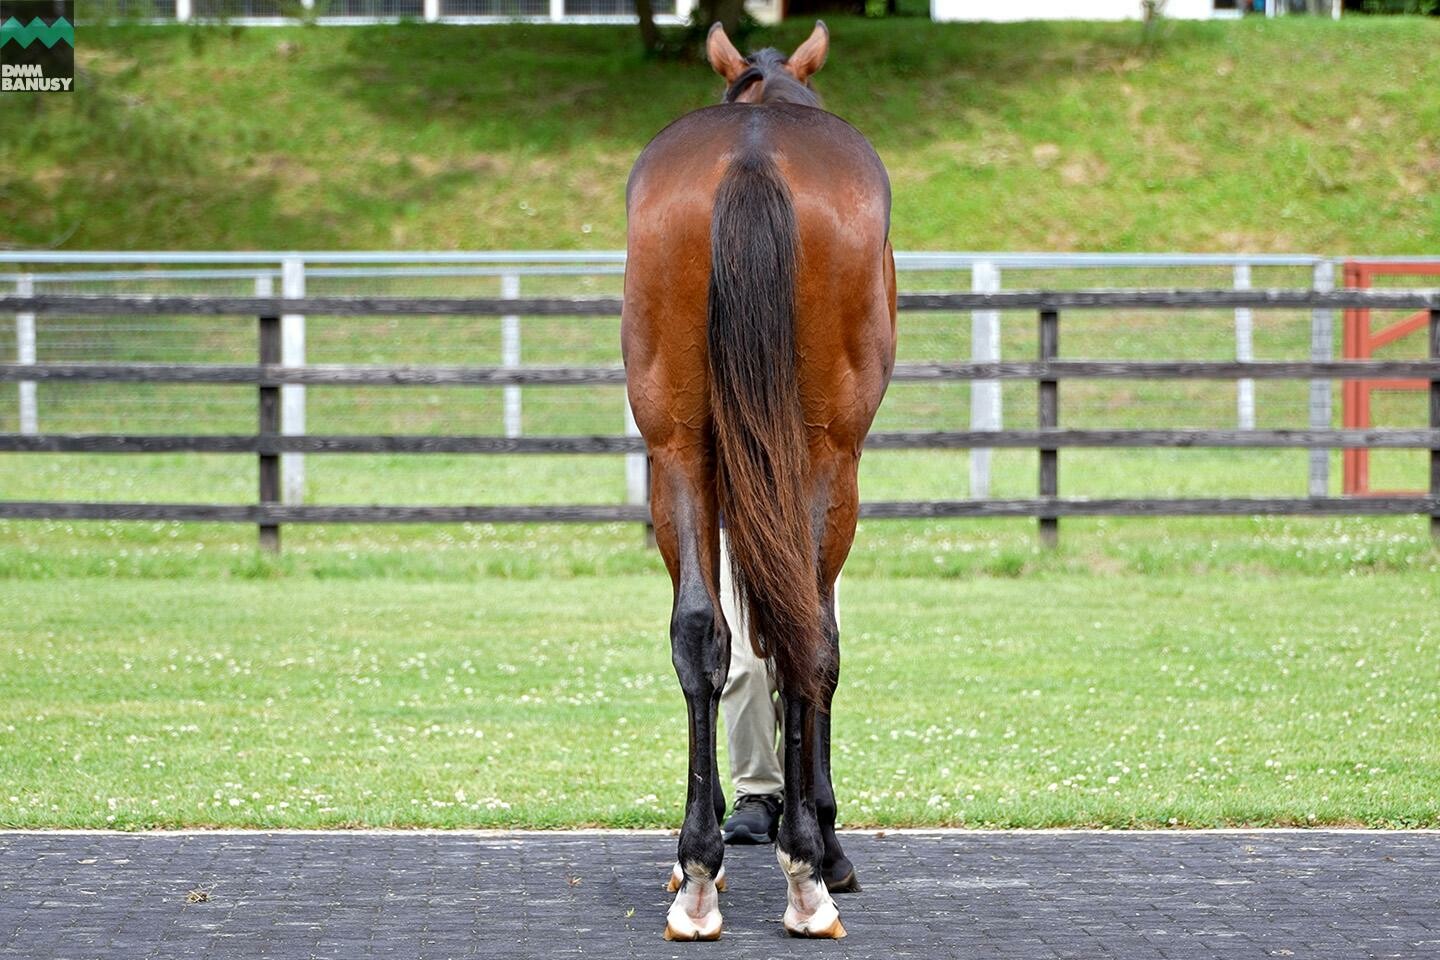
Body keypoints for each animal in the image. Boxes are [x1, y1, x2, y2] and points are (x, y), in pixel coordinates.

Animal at [622, 20, 892, 938]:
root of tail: (752, 153)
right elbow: (815, 645)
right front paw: (824, 843)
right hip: (825, 456)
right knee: (806, 635)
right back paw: (809, 871)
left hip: (675, 447)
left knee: (702, 633)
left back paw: (699, 872)